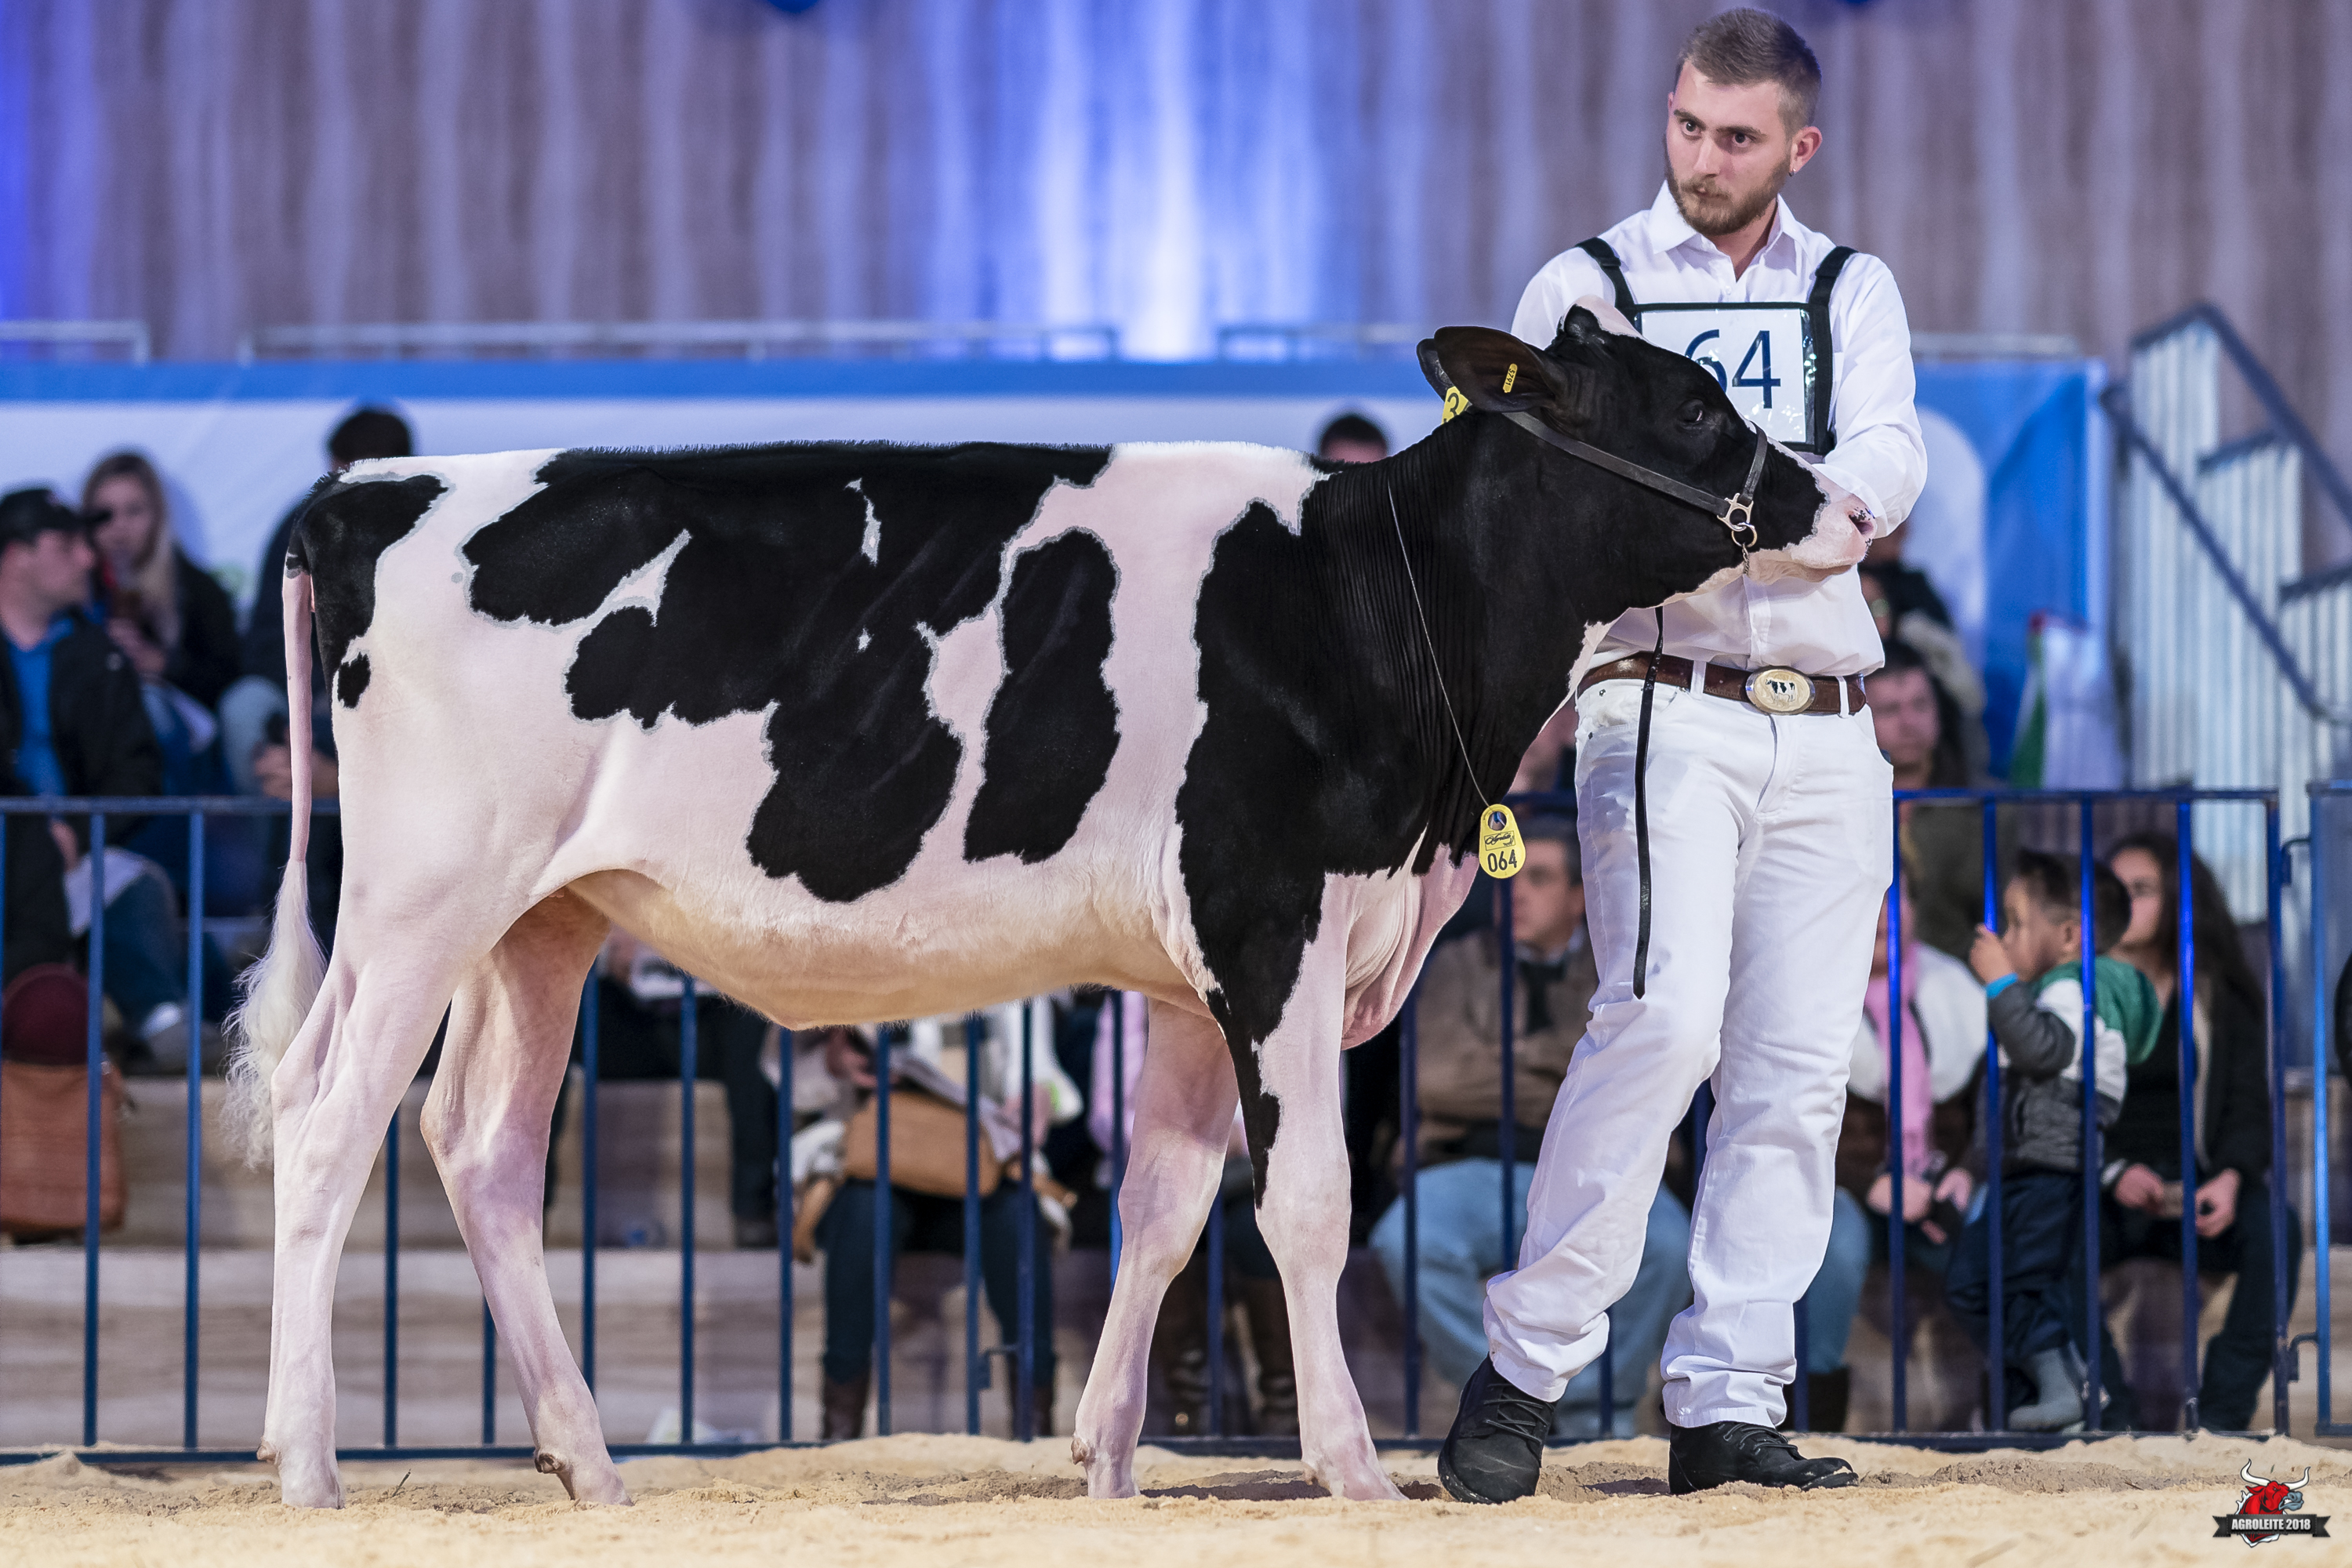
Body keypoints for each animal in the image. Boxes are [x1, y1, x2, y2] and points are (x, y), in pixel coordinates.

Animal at [231, 305, 1874, 1509]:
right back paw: (307, 1465)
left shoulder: (1191, 978)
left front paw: (1108, 1462)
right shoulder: (1272, 923)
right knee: (328, 1118)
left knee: (481, 1149)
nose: (1853, 501)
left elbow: (1163, 1208)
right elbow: (1306, 1203)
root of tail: (369, 499)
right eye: (1694, 408)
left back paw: (588, 1467)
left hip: (542, 920)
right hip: (423, 897)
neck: (1379, 609)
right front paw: (1353, 1472)